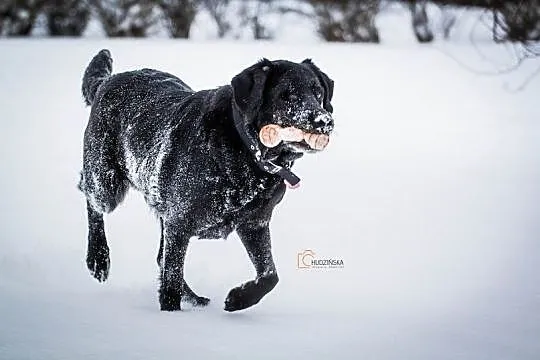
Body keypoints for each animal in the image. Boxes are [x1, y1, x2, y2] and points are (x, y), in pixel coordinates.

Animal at [79, 49, 334, 310]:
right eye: (287, 95)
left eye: (318, 93)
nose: (324, 121)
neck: (247, 151)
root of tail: (107, 81)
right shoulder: (179, 223)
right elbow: (171, 279)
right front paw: (170, 314)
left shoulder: (255, 222)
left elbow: (270, 276)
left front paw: (238, 298)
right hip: (106, 181)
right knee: (89, 195)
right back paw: (98, 258)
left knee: (161, 256)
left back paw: (194, 298)